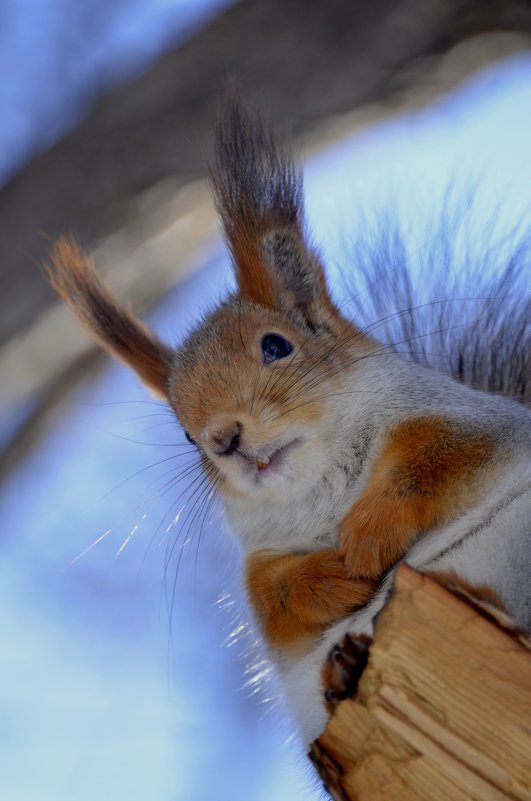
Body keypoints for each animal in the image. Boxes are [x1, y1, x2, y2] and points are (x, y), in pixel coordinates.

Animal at [46, 90, 531, 748]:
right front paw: (336, 577)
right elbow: (273, 598)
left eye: (276, 346)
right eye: (184, 433)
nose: (224, 438)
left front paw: (366, 538)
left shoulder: (471, 421)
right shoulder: (260, 558)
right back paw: (348, 665)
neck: (327, 488)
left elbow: (438, 457)